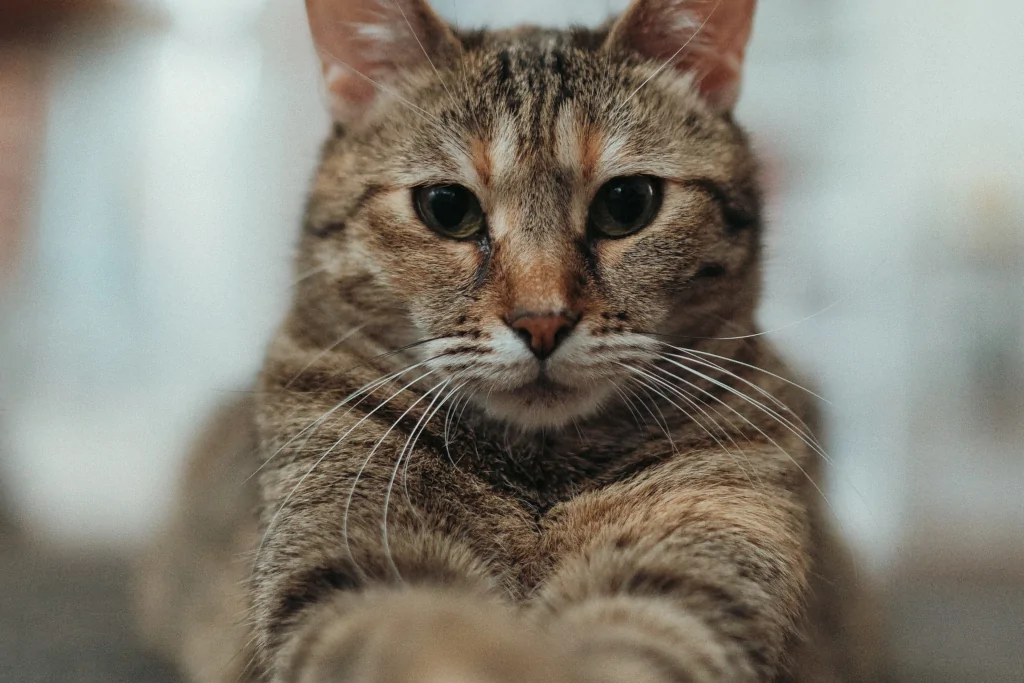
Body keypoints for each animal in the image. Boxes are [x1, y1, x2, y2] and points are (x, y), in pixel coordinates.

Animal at [138, 1, 888, 683]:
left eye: (628, 203)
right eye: (447, 207)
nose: (542, 321)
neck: (539, 472)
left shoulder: (694, 577)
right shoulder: (349, 571)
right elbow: (418, 635)